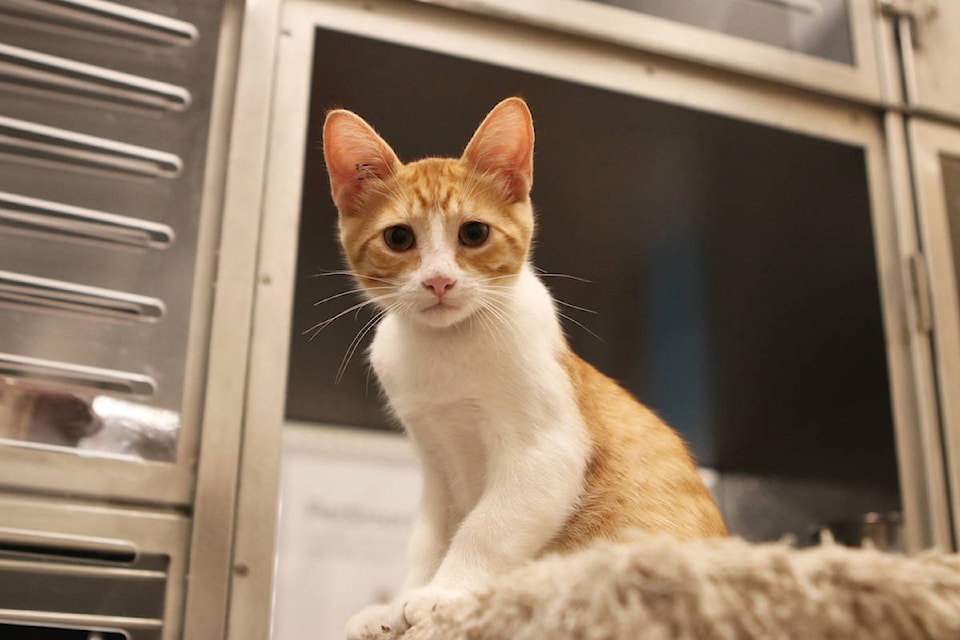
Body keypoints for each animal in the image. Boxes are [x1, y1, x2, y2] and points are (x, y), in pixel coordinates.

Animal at [322, 97, 728, 636]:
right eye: (399, 237)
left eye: (474, 233)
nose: (438, 281)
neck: (446, 350)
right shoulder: (433, 460)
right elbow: (429, 539)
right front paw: (398, 605)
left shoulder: (544, 451)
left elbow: (486, 526)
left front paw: (443, 596)